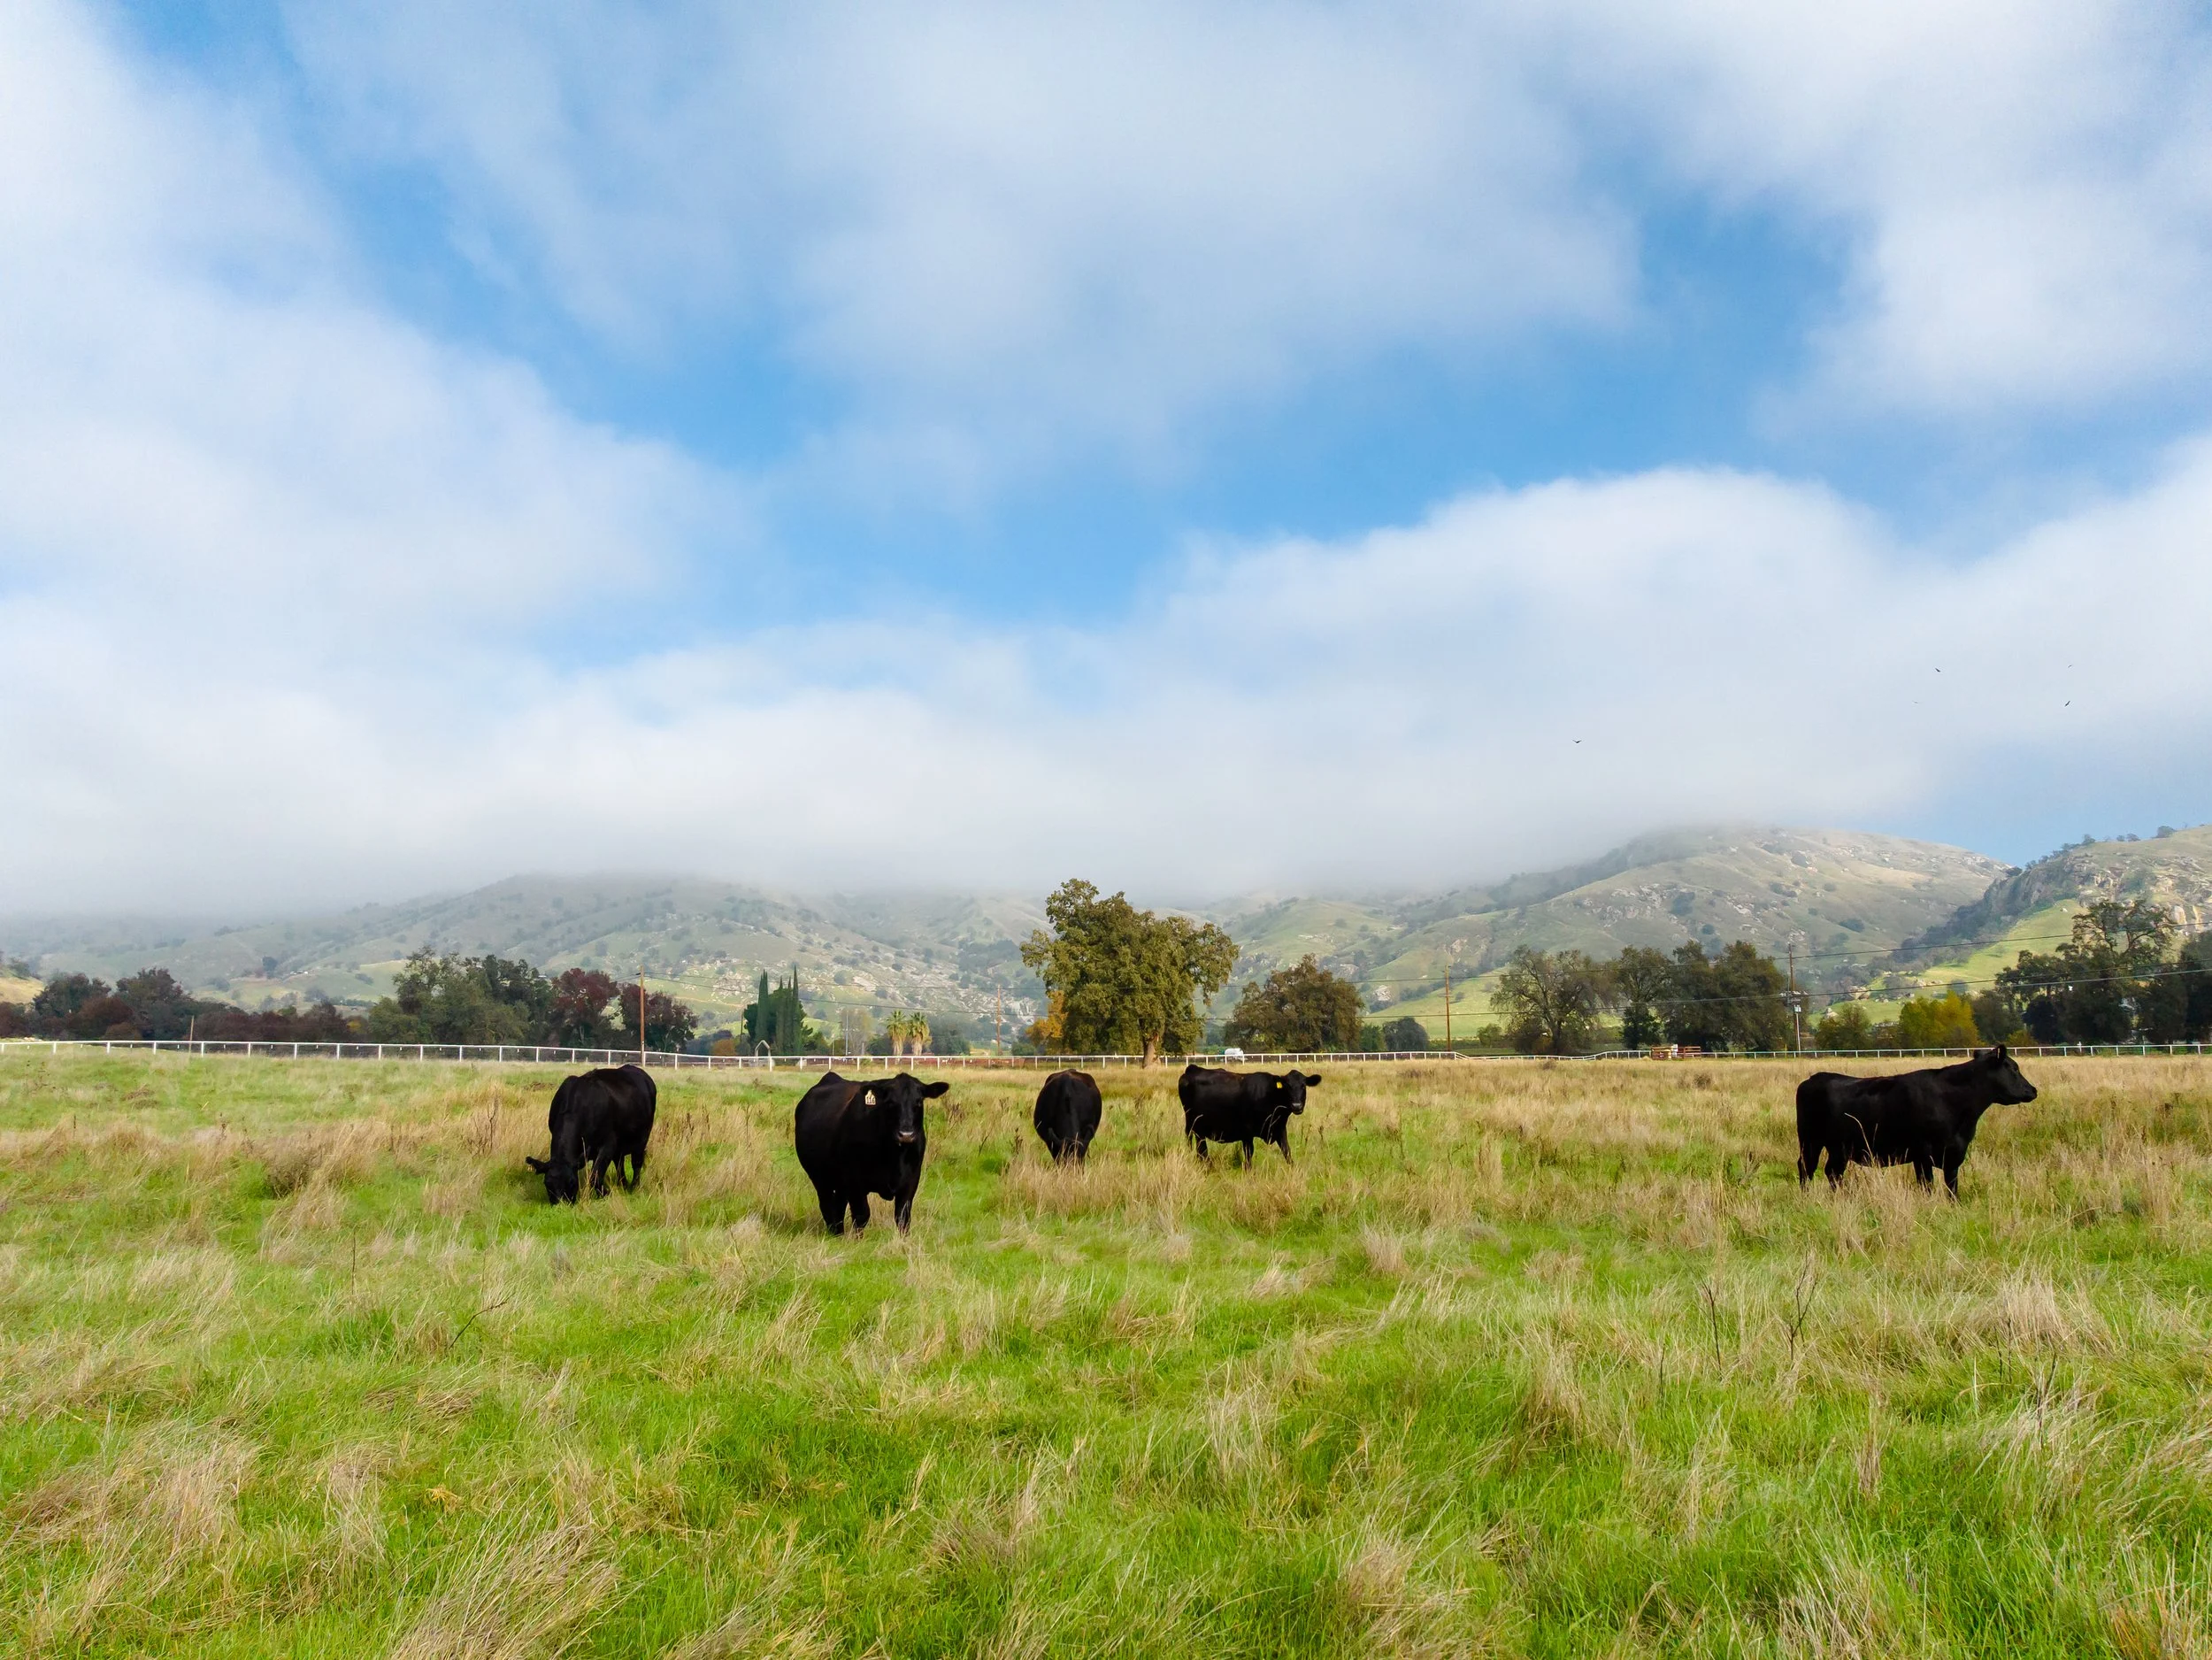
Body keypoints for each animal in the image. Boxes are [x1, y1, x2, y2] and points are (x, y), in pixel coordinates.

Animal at [525, 1063, 657, 1203]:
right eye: (547, 1184)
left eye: (572, 1183)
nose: (561, 1205)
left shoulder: (608, 1145)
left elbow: (594, 1176)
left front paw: (605, 1193)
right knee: (619, 1163)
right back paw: (623, 1185)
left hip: (643, 1138)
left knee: (636, 1163)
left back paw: (634, 1187)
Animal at [793, 1070, 949, 1233]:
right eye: (890, 1102)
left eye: (919, 1102)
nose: (906, 1135)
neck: (894, 1156)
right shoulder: (855, 1181)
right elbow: (861, 1215)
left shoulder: (911, 1180)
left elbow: (903, 1217)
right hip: (820, 1178)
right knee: (827, 1205)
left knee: (839, 1206)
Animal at [1177, 1064, 1321, 1166]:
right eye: (1287, 1086)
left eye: (1303, 1086)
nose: (1297, 1106)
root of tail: (1193, 1068)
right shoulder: (1246, 1132)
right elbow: (1249, 1154)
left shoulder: (1279, 1128)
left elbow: (1287, 1151)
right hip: (1194, 1124)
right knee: (1199, 1146)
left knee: (1200, 1148)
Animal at [1796, 1044, 2038, 1195]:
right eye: (2014, 1068)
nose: (2033, 1090)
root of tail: (1814, 1078)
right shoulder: (1922, 1153)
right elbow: (1927, 1186)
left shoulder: (1954, 1155)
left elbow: (1952, 1188)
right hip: (1811, 1142)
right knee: (1807, 1168)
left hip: (1838, 1148)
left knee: (1832, 1172)